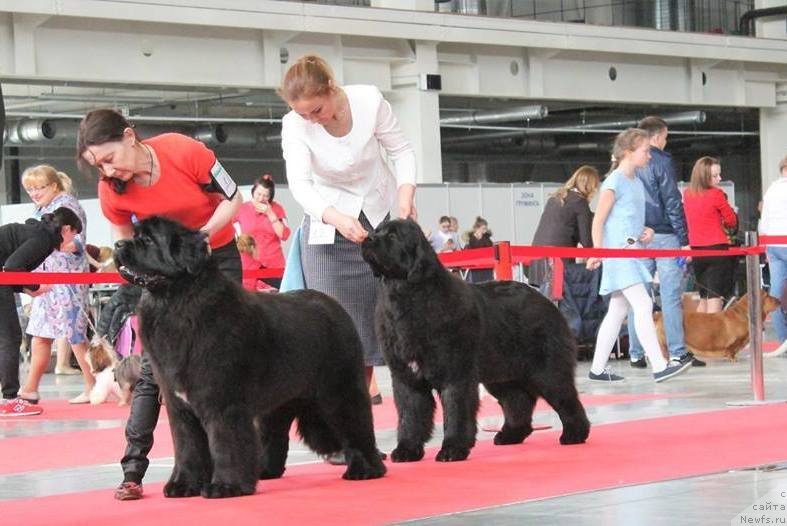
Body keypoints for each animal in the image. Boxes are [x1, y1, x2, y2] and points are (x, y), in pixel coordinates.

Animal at [115, 217, 386, 502]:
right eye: (134, 234)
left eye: (147, 240)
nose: (119, 244)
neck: (176, 302)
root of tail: (336, 306)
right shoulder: (180, 408)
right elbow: (187, 447)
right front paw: (183, 485)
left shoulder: (223, 404)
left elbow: (226, 444)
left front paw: (225, 486)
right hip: (282, 399)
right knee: (274, 433)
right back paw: (265, 470)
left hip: (338, 390)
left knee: (356, 424)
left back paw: (366, 468)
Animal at [360, 221, 588, 464]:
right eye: (377, 230)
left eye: (393, 236)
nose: (367, 238)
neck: (407, 295)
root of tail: (545, 300)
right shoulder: (407, 377)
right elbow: (409, 415)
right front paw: (407, 450)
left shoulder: (455, 374)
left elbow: (456, 412)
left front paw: (452, 449)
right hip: (501, 373)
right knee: (518, 400)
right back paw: (510, 435)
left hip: (546, 370)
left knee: (565, 398)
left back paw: (575, 434)